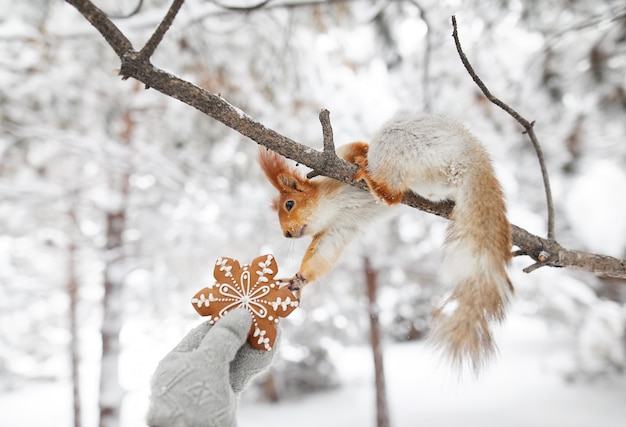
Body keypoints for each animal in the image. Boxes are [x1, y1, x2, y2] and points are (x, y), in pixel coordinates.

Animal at [258, 112, 512, 372]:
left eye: (289, 204)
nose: (286, 234)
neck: (328, 207)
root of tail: (472, 158)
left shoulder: (342, 158)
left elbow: (357, 147)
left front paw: (360, 157)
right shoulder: (338, 229)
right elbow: (322, 253)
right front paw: (298, 279)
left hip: (399, 143)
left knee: (391, 194)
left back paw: (367, 173)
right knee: (396, 196)